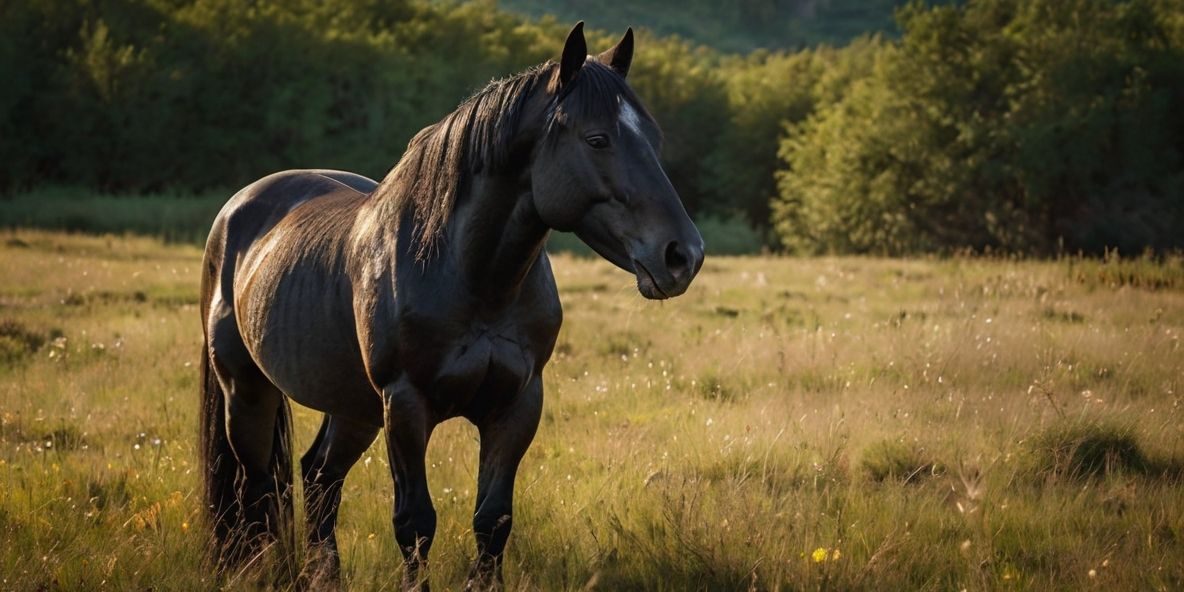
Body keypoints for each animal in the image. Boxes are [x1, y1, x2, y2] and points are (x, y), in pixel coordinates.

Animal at [198, 20, 700, 589]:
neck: (471, 275)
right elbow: (415, 523)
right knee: (256, 489)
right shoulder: (406, 405)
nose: (683, 255)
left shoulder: (516, 406)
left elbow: (493, 520)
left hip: (352, 406)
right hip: (247, 391)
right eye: (598, 139)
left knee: (319, 477)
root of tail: (237, 210)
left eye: (653, 139)